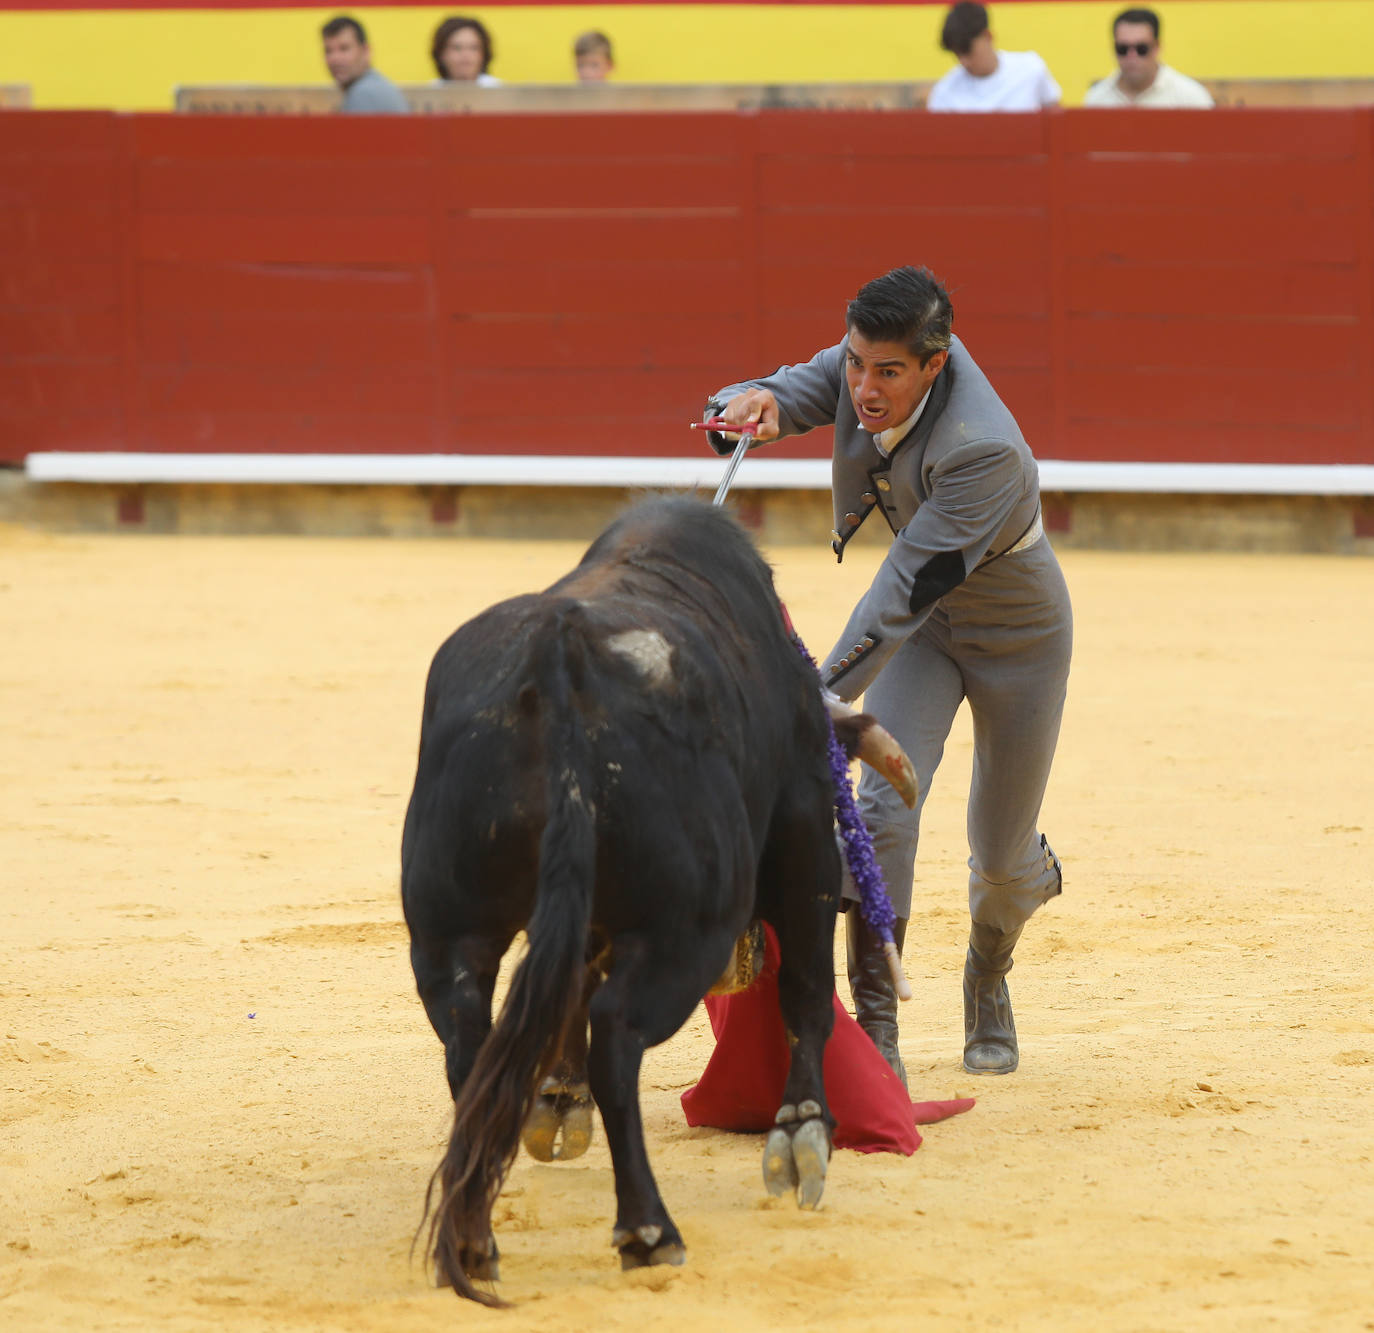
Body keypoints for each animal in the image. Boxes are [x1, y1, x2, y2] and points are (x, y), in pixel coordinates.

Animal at [398, 497, 912, 1297]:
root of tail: (557, 658)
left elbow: (569, 983)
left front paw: (558, 1101)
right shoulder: (804, 833)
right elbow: (805, 992)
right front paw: (801, 1135)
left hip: (448, 931)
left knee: (469, 1045)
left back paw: (477, 1236)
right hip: (688, 930)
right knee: (617, 1033)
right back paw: (648, 1231)